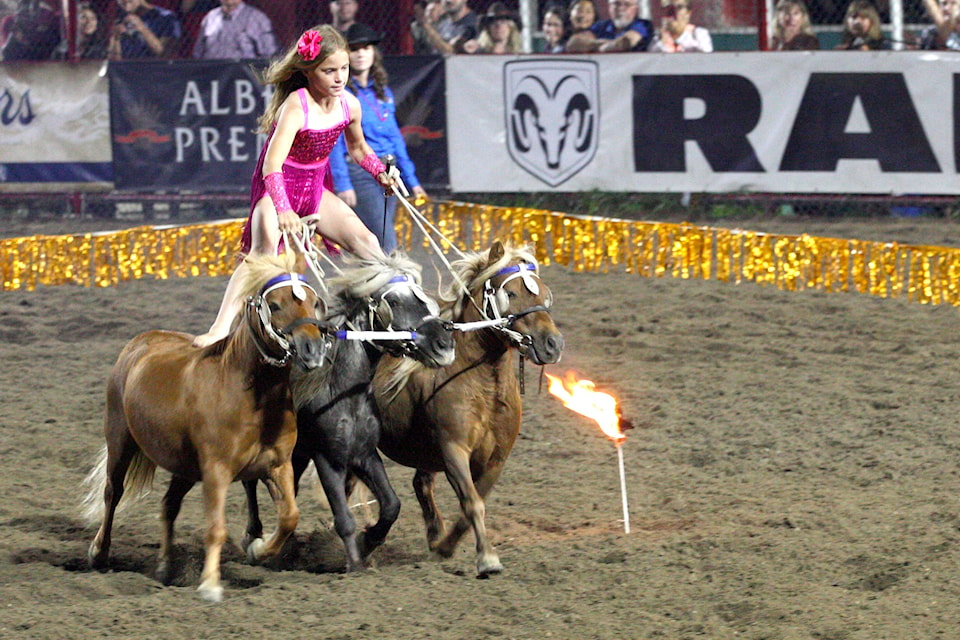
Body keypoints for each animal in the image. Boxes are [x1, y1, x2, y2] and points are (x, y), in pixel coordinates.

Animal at [79, 250, 326, 600]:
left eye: (314, 302)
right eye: (275, 305)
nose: (312, 349)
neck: (247, 393)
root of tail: (139, 343)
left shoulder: (277, 466)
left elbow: (290, 517)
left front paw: (259, 549)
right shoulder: (216, 471)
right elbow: (215, 528)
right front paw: (210, 584)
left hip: (184, 467)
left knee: (168, 506)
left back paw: (166, 566)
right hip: (120, 442)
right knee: (113, 492)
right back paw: (99, 553)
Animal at [246, 252, 460, 572]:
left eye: (422, 298)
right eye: (392, 301)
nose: (444, 345)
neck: (343, 394)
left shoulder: (363, 454)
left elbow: (391, 505)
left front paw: (368, 540)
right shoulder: (328, 458)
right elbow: (344, 518)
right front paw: (355, 562)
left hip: (297, 456)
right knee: (250, 486)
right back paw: (254, 539)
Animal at [370, 242, 564, 576]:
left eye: (544, 293)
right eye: (510, 293)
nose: (552, 344)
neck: (484, 387)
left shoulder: (497, 458)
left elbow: (474, 501)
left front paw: (445, 546)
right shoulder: (453, 449)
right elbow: (473, 502)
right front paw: (487, 558)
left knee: (421, 484)